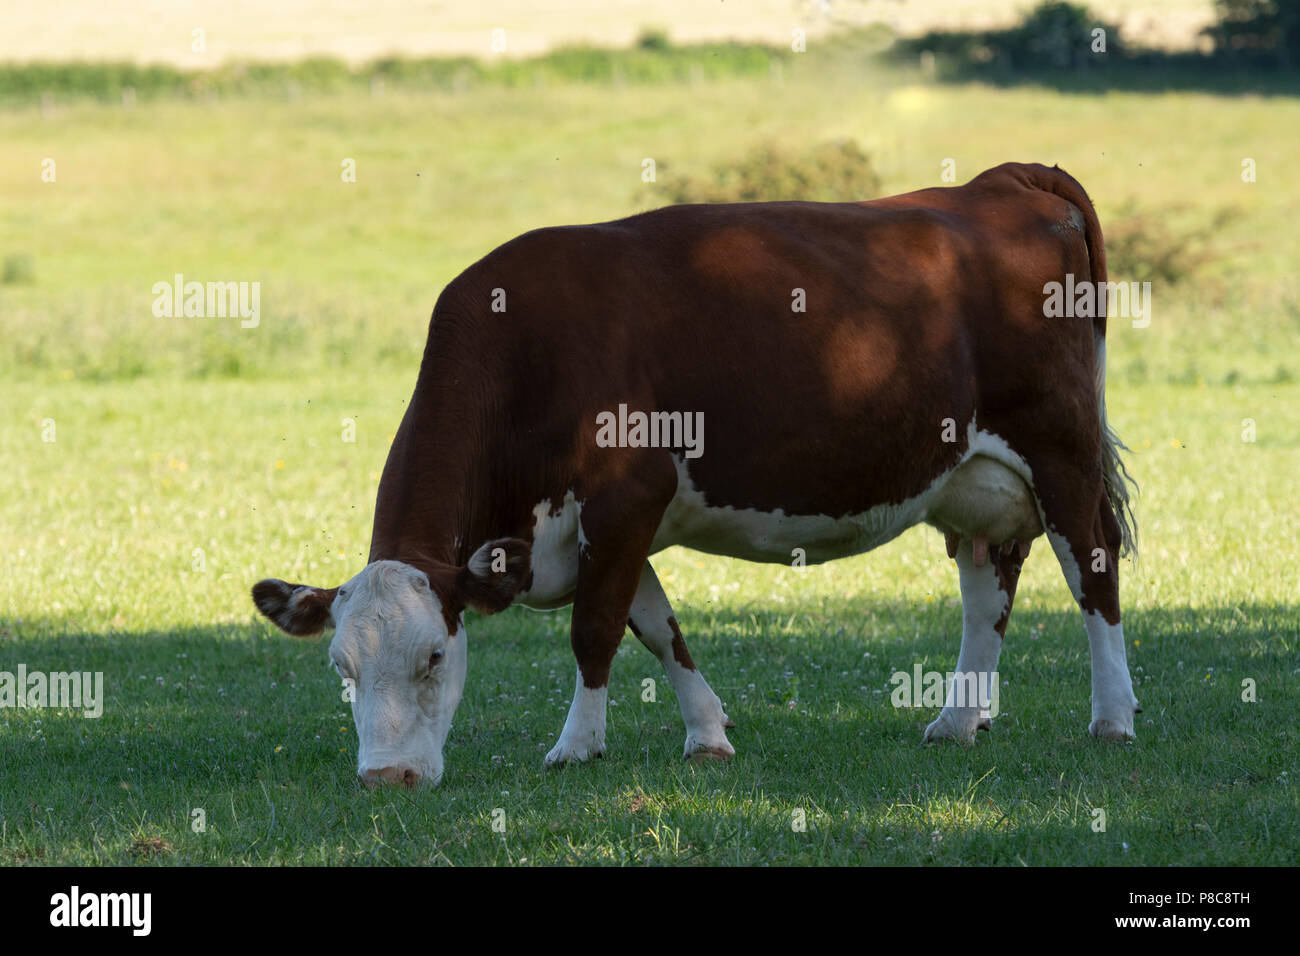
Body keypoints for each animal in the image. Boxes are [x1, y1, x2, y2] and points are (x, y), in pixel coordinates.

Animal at [252, 161, 1140, 788]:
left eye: (435, 657)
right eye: (341, 669)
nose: (388, 778)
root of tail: (1002, 181)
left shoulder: (625, 495)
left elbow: (596, 629)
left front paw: (577, 746)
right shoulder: (604, 526)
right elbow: (656, 624)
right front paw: (707, 734)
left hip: (1061, 450)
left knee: (1092, 569)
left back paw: (1113, 719)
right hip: (977, 479)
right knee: (988, 587)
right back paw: (958, 722)